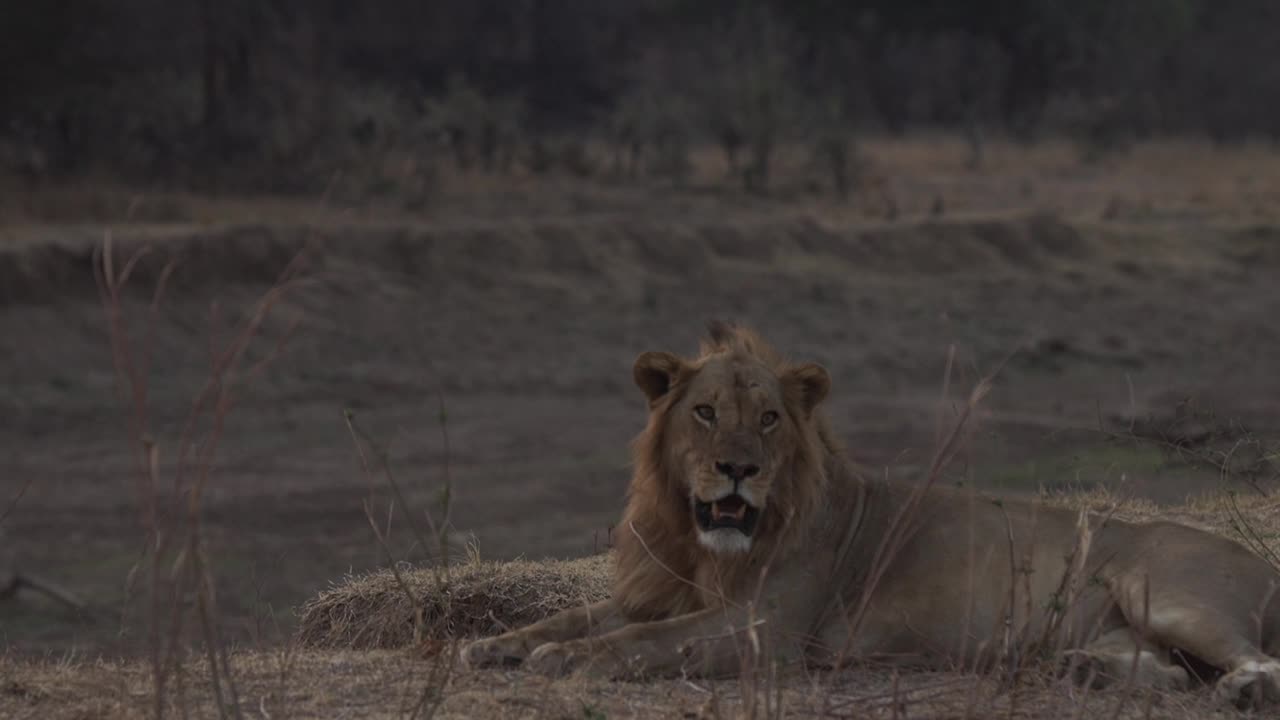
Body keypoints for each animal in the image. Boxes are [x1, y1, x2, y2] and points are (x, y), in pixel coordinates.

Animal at [463, 322, 1280, 702]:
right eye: (704, 413)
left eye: (768, 420)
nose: (738, 470)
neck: (702, 545)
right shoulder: (662, 591)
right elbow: (576, 617)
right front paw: (496, 645)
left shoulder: (766, 627)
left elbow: (645, 642)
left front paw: (568, 660)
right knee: (1168, 674)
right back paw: (1080, 669)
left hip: (1162, 592)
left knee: (1254, 658)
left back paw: (1242, 689)